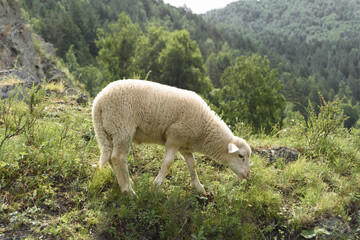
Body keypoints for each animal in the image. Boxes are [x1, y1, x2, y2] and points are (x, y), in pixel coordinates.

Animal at [91, 79, 252, 194]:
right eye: (241, 156)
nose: (247, 175)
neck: (204, 130)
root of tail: (98, 102)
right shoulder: (174, 136)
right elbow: (168, 162)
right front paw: (156, 184)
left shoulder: (185, 145)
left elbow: (192, 164)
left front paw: (198, 187)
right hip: (122, 127)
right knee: (117, 157)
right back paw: (128, 190)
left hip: (108, 131)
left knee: (110, 157)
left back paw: (126, 181)